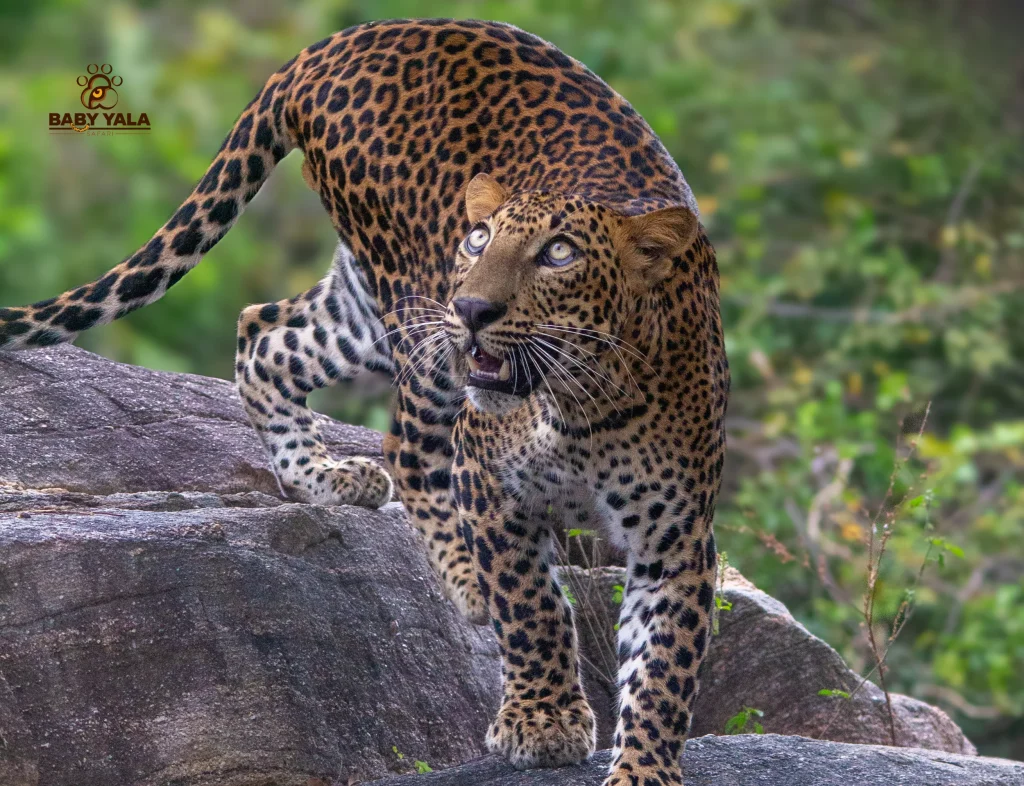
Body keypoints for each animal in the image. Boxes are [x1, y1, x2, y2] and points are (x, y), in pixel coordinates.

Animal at [0, 19, 728, 786]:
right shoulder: (491, 483)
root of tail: (342, 39)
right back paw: (460, 576)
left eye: (559, 254)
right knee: (403, 445)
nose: (474, 307)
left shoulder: (677, 537)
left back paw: (323, 478)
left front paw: (644, 766)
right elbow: (530, 605)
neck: (579, 403)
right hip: (413, 309)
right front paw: (543, 720)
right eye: (480, 240)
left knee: (262, 332)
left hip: (367, 310)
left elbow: (663, 668)